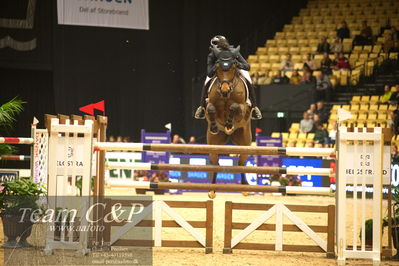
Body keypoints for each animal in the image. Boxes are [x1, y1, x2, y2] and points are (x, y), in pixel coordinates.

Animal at [206, 45, 253, 198]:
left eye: (233, 67)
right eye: (217, 67)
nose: (225, 90)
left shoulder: (243, 108)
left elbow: (234, 107)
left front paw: (229, 124)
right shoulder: (209, 105)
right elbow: (211, 109)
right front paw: (215, 126)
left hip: (244, 144)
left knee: (241, 163)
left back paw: (245, 188)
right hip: (214, 146)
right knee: (216, 164)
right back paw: (212, 190)